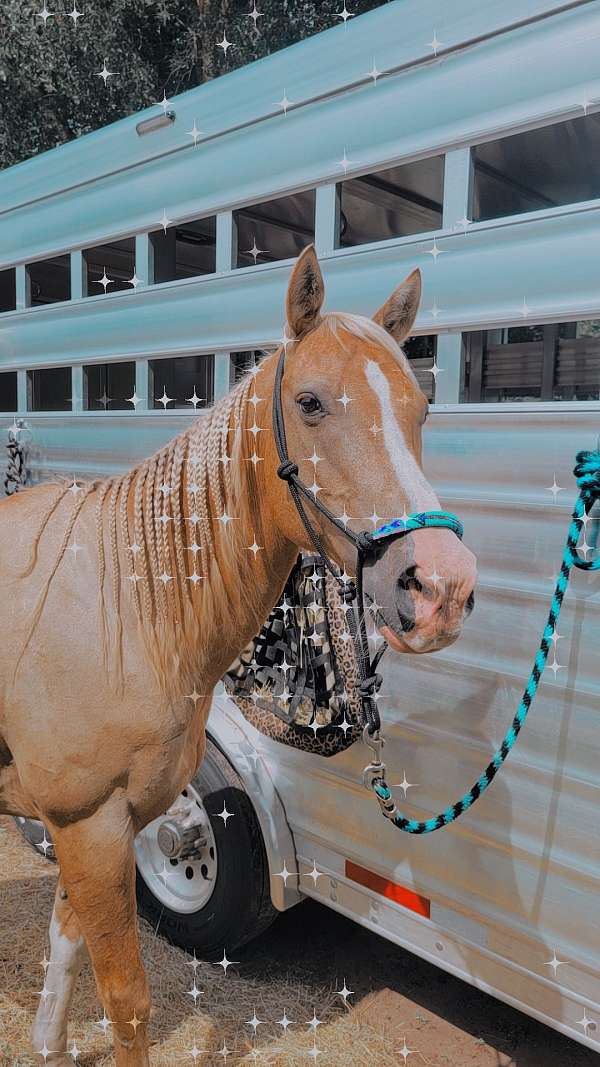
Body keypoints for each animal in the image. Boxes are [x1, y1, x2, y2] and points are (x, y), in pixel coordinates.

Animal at [0, 245, 476, 1062]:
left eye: (420, 411)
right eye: (310, 403)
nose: (441, 586)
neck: (124, 612)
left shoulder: (87, 830)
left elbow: (67, 946)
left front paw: (49, 1044)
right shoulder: (90, 826)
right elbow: (126, 1001)